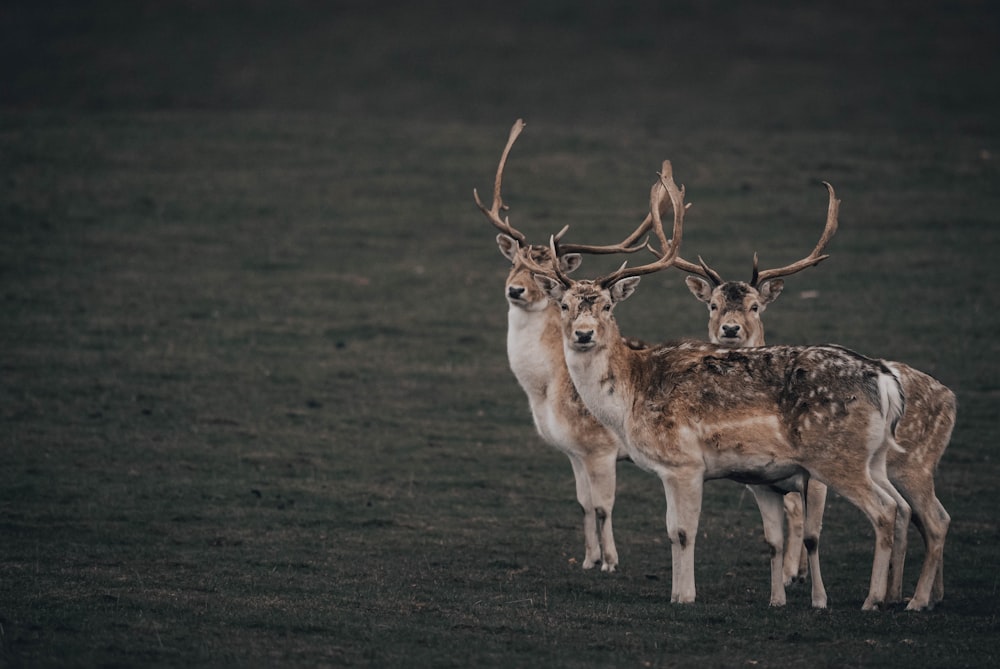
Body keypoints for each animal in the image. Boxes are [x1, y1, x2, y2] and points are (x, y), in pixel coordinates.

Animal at [536, 164, 912, 608]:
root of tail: (884, 378)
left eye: (608, 306)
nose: (583, 334)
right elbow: (672, 531)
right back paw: (894, 595)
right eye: (564, 305)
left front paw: (683, 596)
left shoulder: (684, 463)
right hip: (874, 457)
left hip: (838, 458)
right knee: (901, 506)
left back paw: (873, 599)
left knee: (884, 510)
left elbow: (682, 532)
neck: (629, 400)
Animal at [676, 184, 956, 612]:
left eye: (755, 305)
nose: (730, 329)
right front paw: (786, 582)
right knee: (916, 516)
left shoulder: (814, 478)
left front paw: (806, 587)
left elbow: (810, 532)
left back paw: (913, 599)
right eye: (713, 304)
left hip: (915, 465)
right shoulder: (765, 479)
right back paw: (914, 594)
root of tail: (951, 397)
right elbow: (781, 529)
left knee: (932, 518)